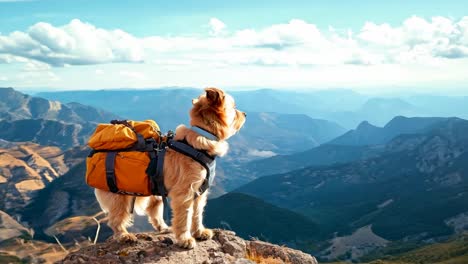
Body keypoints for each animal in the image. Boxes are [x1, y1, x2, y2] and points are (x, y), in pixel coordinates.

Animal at [96, 87, 249, 249]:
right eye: (234, 107)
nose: (245, 114)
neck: (201, 139)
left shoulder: (199, 192)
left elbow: (197, 214)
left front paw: (199, 232)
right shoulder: (184, 193)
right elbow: (184, 217)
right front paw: (185, 239)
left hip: (154, 192)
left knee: (153, 210)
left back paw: (163, 227)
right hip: (120, 196)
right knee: (116, 219)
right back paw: (124, 235)